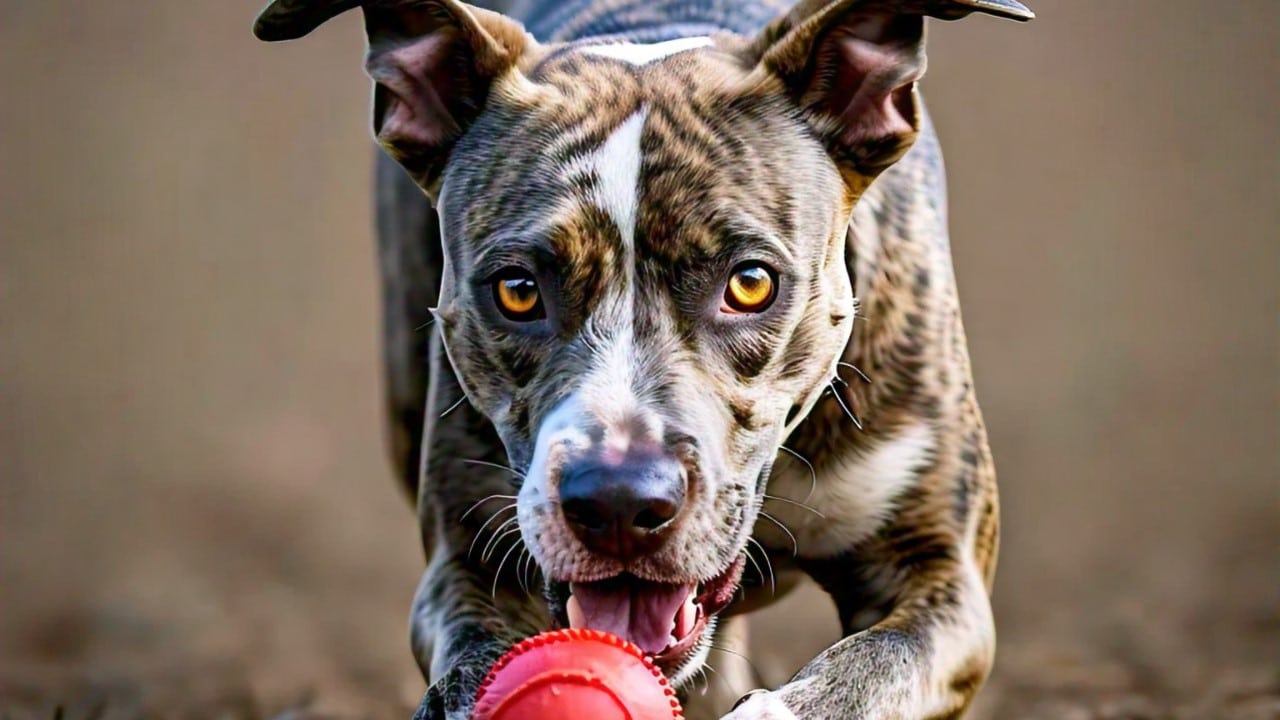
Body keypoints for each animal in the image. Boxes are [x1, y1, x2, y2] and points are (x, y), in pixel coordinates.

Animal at [254, 0, 1034, 712]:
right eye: (517, 290)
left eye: (751, 283)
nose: (618, 502)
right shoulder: (468, 557)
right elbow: (473, 655)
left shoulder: (938, 569)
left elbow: (871, 669)